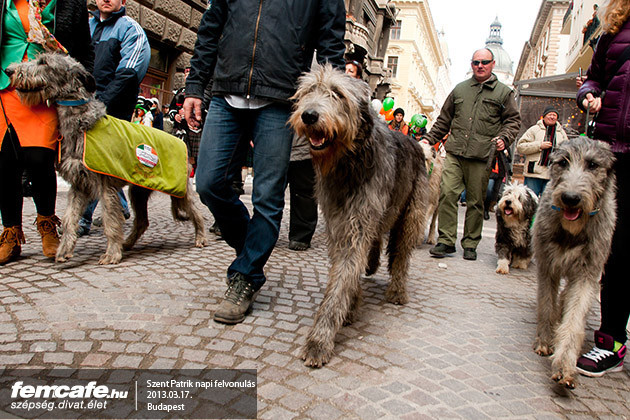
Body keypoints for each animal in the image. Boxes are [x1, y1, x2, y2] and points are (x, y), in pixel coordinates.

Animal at [7, 53, 207, 265]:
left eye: (43, 62)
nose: (9, 71)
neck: (84, 123)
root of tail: (181, 142)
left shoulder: (105, 185)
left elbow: (111, 221)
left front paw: (111, 253)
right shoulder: (79, 184)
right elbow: (70, 218)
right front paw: (64, 250)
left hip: (178, 188)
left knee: (195, 210)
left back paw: (201, 236)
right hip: (139, 190)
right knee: (142, 221)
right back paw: (127, 243)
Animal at [289, 64, 429, 368]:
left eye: (337, 94)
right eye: (308, 91)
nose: (309, 115)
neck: (348, 161)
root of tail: (416, 142)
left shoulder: (358, 221)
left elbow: (344, 273)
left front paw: (319, 339)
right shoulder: (338, 221)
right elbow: (346, 266)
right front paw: (351, 305)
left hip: (411, 213)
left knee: (401, 253)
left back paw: (397, 291)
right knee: (376, 238)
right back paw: (372, 264)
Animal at [532, 137, 616, 389]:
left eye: (593, 165)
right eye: (563, 162)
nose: (570, 198)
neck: (572, 230)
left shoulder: (587, 273)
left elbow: (574, 318)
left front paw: (564, 365)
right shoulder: (547, 265)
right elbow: (546, 304)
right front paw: (544, 340)